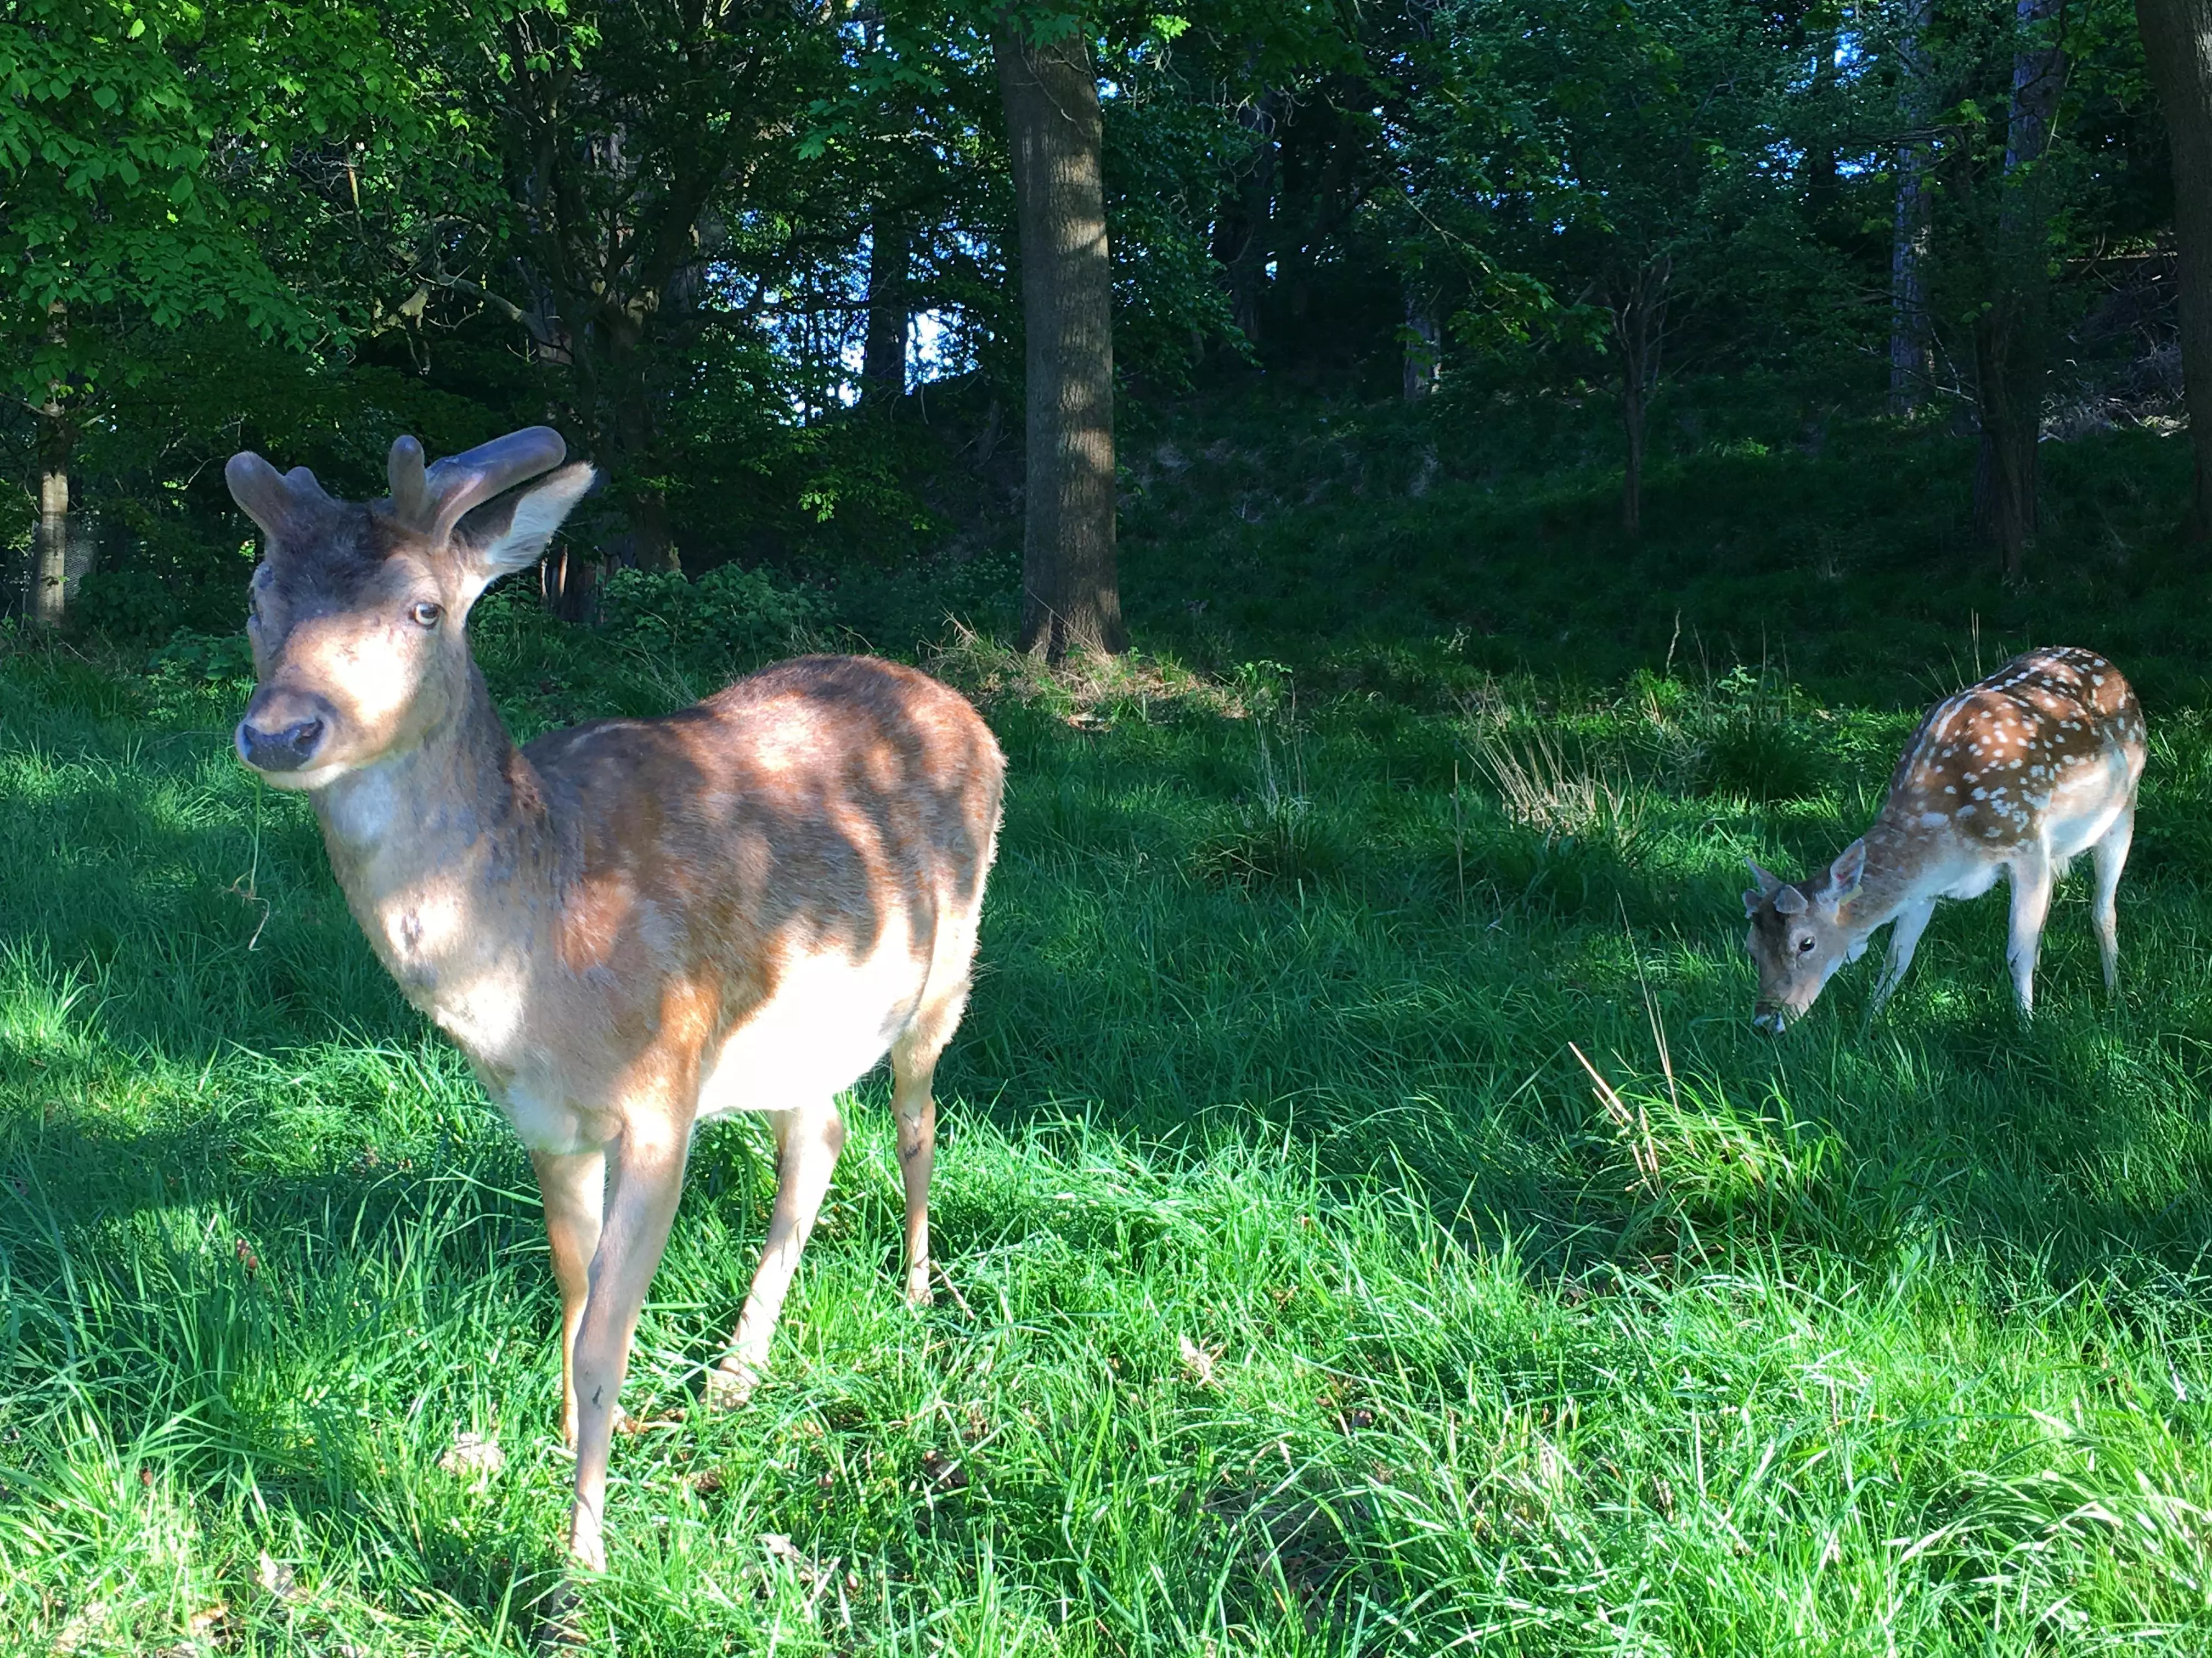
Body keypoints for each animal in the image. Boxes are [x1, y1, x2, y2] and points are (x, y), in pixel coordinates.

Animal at [223, 428, 1004, 1572]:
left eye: (424, 607)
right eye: (256, 593)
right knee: (818, 1137)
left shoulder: (662, 1087)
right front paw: (564, 1436)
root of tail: (965, 705)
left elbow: (607, 1336)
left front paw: (580, 1559)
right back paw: (737, 1371)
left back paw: (913, 1289)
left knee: (917, 1117)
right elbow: (573, 1289)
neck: (532, 970)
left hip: (945, 966)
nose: (280, 732)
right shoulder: (543, 1117)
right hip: (795, 1028)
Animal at [1743, 646, 2145, 1033]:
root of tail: (2113, 669)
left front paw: (2027, 1027)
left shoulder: (2026, 842)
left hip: (2124, 807)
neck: (1951, 841)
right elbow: (1897, 956)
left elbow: (2017, 951)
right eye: (1750, 948)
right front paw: (1868, 1024)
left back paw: (2115, 996)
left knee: (2102, 909)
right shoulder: (1925, 889)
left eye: (1806, 943)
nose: (1765, 1021)